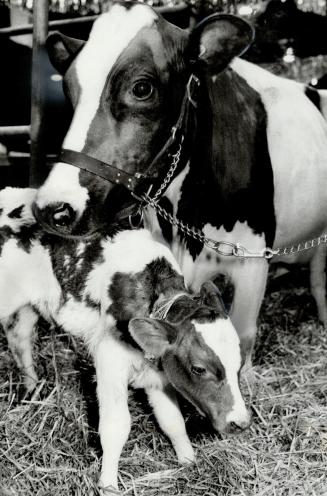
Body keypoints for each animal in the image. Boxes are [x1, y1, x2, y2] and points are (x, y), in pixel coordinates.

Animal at [0, 186, 251, 492]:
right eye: (199, 368)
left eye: (239, 364)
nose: (241, 423)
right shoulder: (109, 358)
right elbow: (116, 426)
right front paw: (108, 484)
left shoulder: (158, 373)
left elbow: (173, 422)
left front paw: (189, 463)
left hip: (25, 306)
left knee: (20, 339)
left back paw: (32, 392)